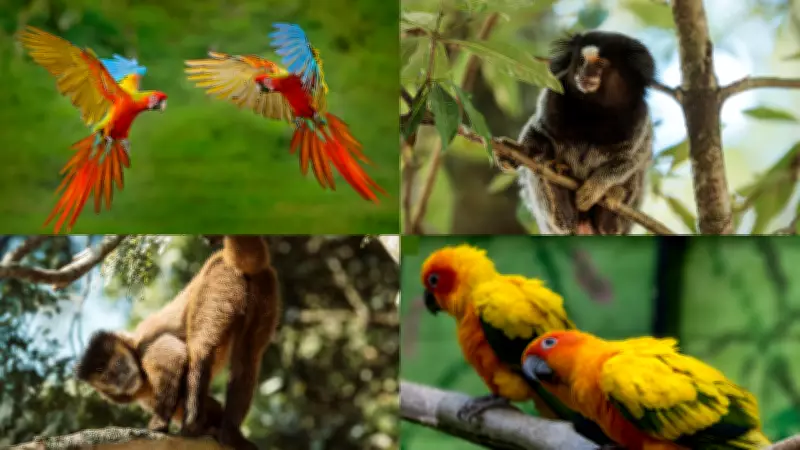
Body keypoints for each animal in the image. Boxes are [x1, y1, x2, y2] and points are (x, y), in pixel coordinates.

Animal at [75, 236, 281, 450]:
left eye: (118, 364)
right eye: (107, 377)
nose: (121, 377)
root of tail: (223, 257)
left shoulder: (146, 346)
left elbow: (174, 358)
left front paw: (159, 424)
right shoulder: (145, 397)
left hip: (218, 279)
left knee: (201, 349)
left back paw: (193, 424)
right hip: (264, 285)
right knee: (248, 358)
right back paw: (231, 435)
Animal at [495, 31, 655, 235]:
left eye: (600, 64)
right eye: (581, 61)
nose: (585, 73)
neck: (593, 109)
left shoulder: (639, 120)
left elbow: (630, 159)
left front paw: (594, 189)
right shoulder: (550, 99)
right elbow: (538, 133)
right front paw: (517, 151)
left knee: (638, 172)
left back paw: (610, 215)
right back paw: (560, 199)